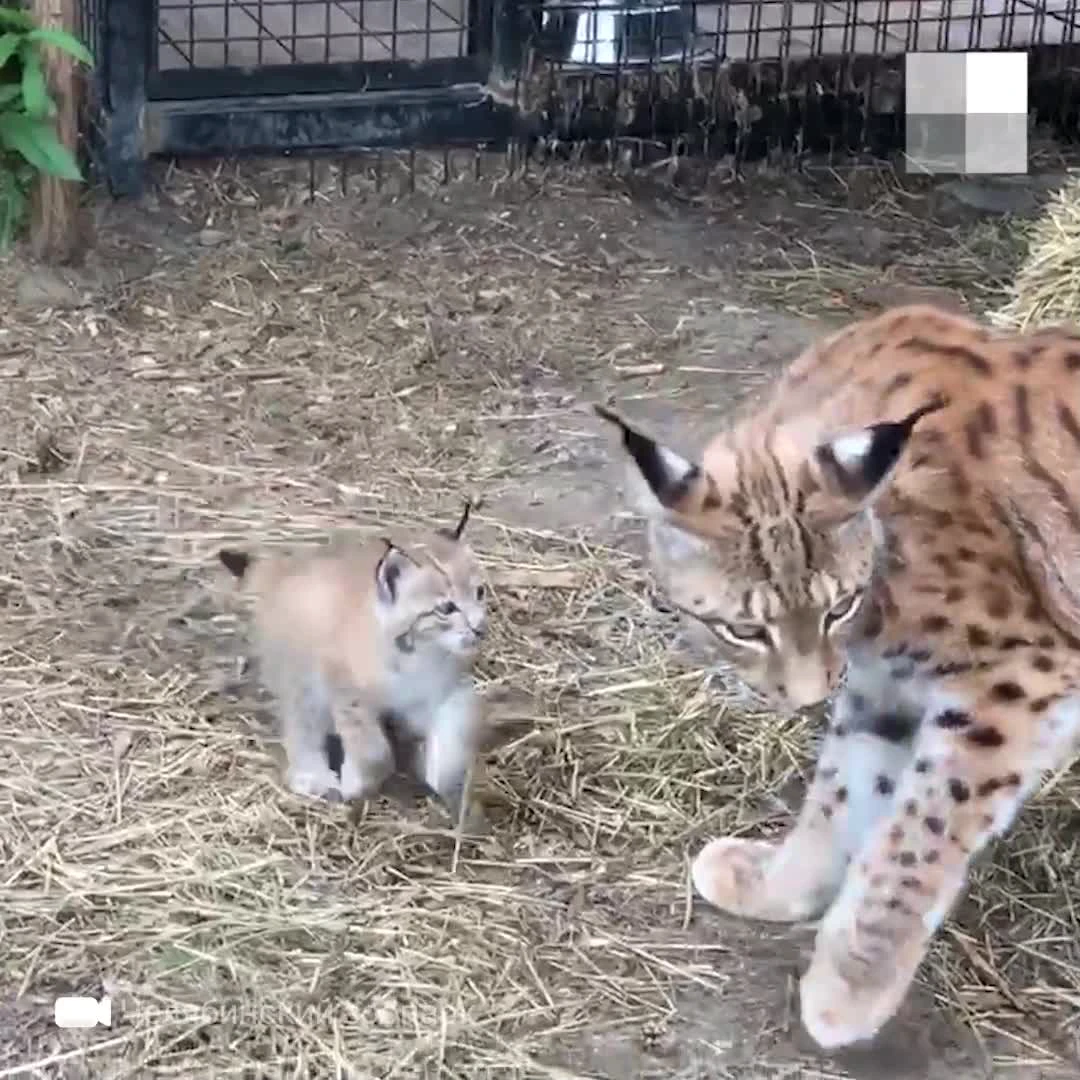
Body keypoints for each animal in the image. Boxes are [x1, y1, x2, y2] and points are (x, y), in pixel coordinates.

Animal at [219, 501, 490, 820]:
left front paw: (455, 794)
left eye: (480, 592)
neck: (420, 654)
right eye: (446, 609)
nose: (480, 629)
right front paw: (354, 784)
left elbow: (452, 750)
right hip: (301, 674)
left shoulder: (449, 693)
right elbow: (373, 750)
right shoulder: (346, 689)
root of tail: (287, 573)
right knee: (301, 722)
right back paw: (311, 775)